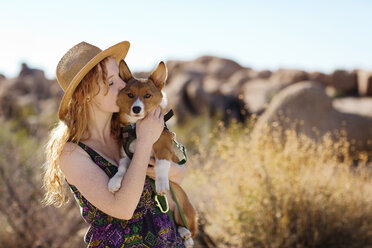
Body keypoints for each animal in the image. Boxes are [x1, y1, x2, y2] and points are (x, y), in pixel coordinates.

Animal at [107, 59, 198, 246]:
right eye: (130, 95)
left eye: (147, 96)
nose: (136, 109)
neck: (136, 129)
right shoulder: (126, 155)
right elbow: (122, 169)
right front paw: (114, 182)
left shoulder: (163, 147)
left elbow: (162, 165)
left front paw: (161, 183)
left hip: (184, 204)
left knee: (190, 228)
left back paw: (187, 236)